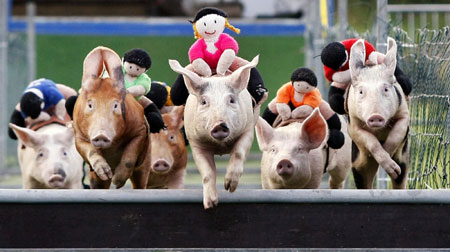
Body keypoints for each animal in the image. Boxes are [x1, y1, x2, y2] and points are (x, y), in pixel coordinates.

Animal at [169, 56, 262, 210]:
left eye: (231, 100)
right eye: (204, 101)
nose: (219, 125)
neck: (220, 146)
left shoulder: (248, 129)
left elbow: (238, 153)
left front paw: (229, 187)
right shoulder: (195, 142)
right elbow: (207, 172)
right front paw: (210, 205)